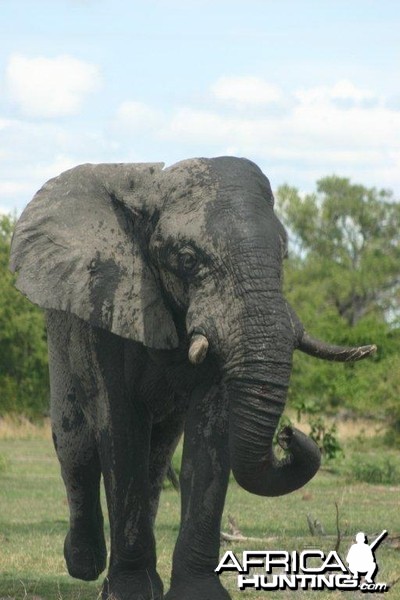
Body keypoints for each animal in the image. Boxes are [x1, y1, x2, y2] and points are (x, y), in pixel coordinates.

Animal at [9, 157, 376, 596]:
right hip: (61, 329)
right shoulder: (110, 307)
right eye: (187, 259)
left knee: (156, 456)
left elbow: (207, 445)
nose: (289, 435)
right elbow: (120, 435)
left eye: (285, 255)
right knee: (75, 443)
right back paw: (84, 564)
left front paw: (196, 593)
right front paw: (129, 592)